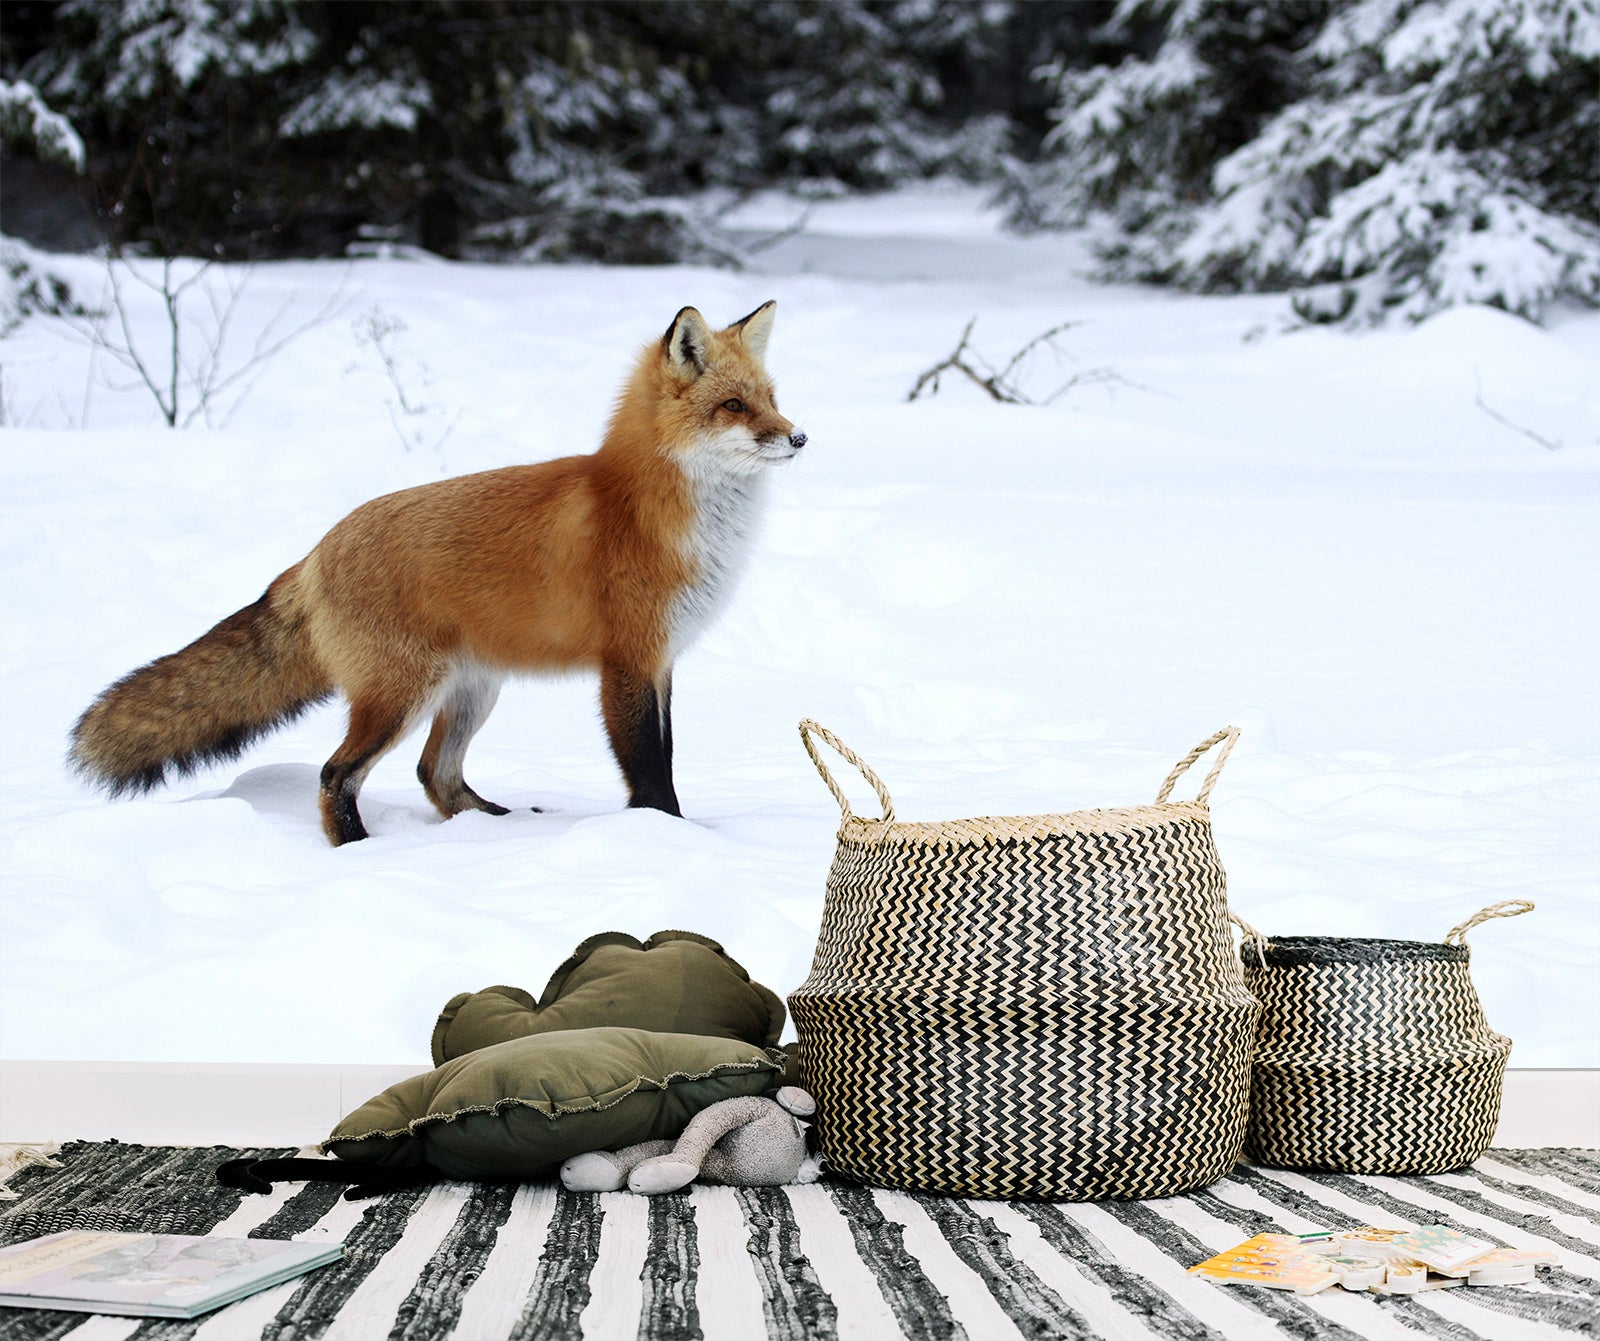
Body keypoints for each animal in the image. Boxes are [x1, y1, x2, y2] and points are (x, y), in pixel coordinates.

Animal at [69, 301, 805, 845]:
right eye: (734, 406)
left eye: (771, 398)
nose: (799, 438)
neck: (653, 508)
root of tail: (315, 553)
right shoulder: (627, 659)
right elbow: (649, 769)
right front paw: (669, 840)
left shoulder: (663, 661)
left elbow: (668, 755)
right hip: (403, 694)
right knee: (335, 774)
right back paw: (360, 848)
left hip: (473, 689)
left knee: (434, 773)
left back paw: (491, 831)